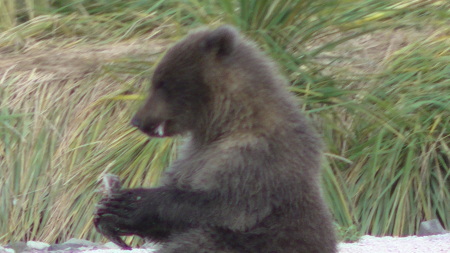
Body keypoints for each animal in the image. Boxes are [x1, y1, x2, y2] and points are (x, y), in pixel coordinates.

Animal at [93, 24, 336, 253]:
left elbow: (224, 207)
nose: (138, 120)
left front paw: (132, 203)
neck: (226, 124)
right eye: (156, 81)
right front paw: (107, 213)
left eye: (163, 83)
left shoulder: (256, 159)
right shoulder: (194, 154)